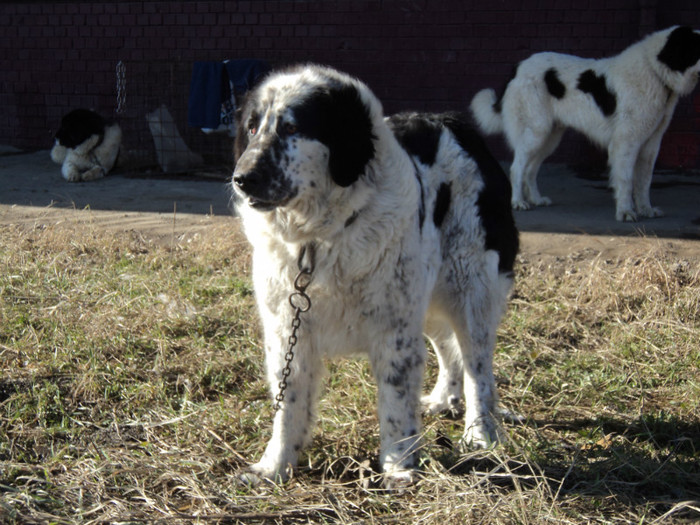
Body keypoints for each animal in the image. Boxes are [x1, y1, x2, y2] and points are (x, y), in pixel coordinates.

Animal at [232, 64, 516, 488]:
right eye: (252, 128)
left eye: (291, 128)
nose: (241, 177)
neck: (322, 236)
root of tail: (453, 123)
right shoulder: (288, 332)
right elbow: (289, 404)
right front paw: (275, 466)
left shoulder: (393, 330)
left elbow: (396, 401)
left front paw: (398, 466)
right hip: (426, 294)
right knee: (449, 348)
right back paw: (443, 398)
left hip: (470, 287)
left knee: (478, 366)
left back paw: (481, 432)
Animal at [470, 25, 700, 221]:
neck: (655, 70)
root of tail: (518, 67)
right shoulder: (626, 142)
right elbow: (626, 180)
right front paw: (625, 212)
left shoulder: (651, 144)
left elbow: (644, 182)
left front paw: (646, 210)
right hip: (536, 132)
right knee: (517, 168)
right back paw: (518, 202)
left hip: (549, 138)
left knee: (530, 170)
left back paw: (536, 199)